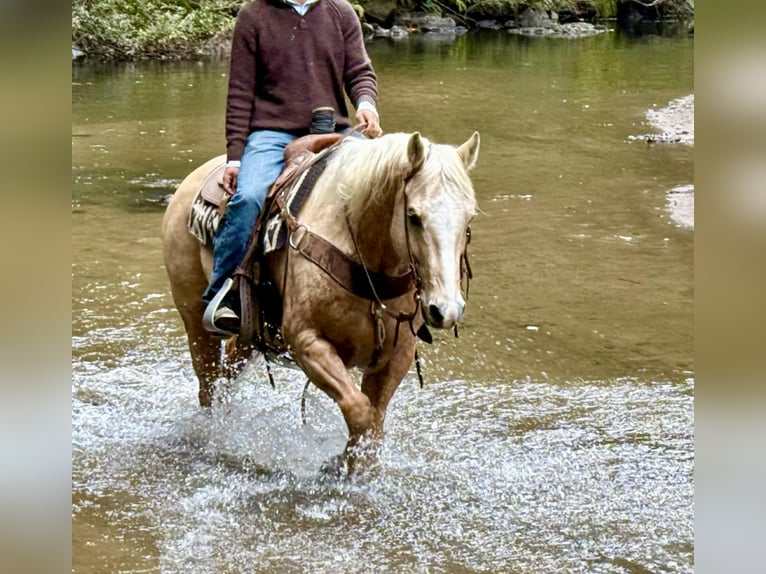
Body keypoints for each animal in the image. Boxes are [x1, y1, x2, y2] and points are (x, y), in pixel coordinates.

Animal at [161, 131, 480, 473]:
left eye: (469, 217)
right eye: (414, 217)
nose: (446, 310)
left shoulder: (398, 354)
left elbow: (374, 424)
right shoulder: (307, 343)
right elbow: (359, 411)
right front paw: (338, 464)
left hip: (250, 330)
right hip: (195, 319)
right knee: (206, 382)